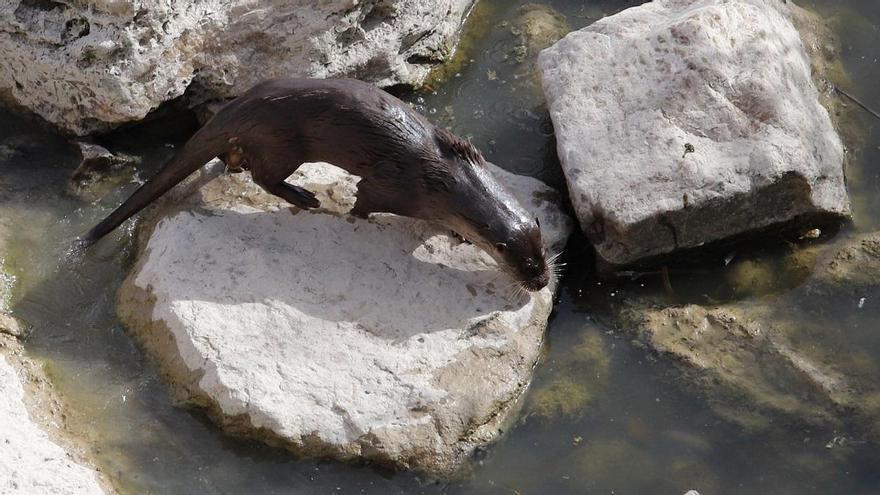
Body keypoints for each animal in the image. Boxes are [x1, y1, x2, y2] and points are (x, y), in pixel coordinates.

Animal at [82, 77, 552, 290]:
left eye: (543, 253)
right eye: (523, 265)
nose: (543, 283)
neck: (447, 180)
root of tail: (242, 103)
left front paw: (459, 236)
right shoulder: (395, 187)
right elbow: (364, 198)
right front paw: (357, 217)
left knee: (233, 157)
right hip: (284, 142)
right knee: (264, 175)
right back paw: (303, 196)